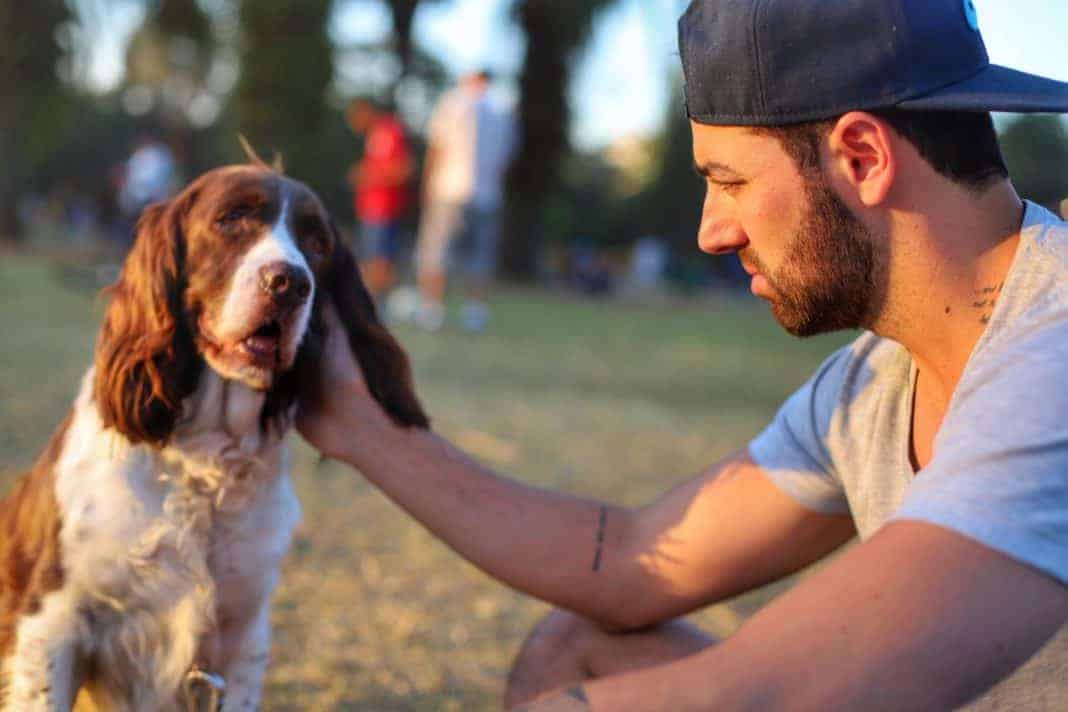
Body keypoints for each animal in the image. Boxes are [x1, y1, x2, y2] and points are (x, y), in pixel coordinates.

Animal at [0, 163, 425, 712]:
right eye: (231, 218)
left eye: (317, 243)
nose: (290, 283)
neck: (206, 460)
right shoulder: (52, 621)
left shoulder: (241, 639)